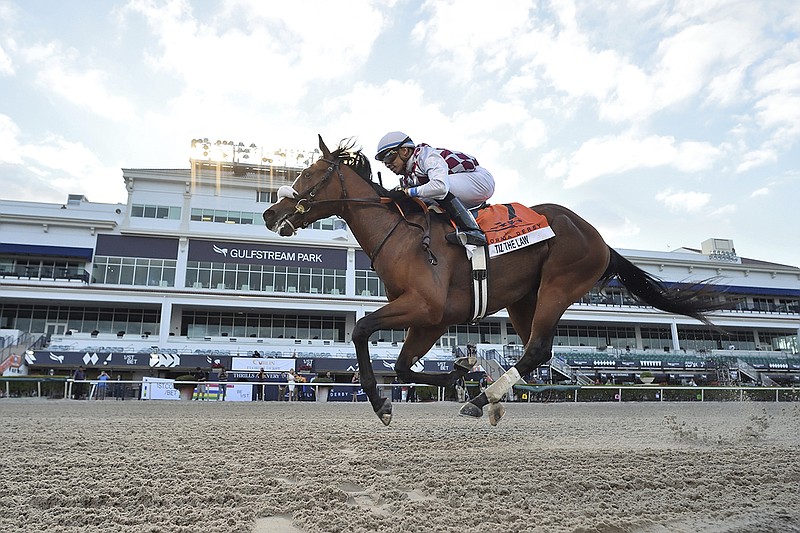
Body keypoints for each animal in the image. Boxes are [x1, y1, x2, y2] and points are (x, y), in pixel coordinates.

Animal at [260, 135, 724, 426]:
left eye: (309, 174)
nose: (269, 213)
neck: (402, 235)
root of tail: (600, 238)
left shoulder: (424, 306)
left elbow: (361, 332)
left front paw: (382, 404)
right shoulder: (433, 320)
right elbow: (405, 364)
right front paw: (457, 374)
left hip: (559, 285)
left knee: (536, 349)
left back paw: (484, 398)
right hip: (523, 299)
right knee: (538, 353)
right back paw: (491, 398)